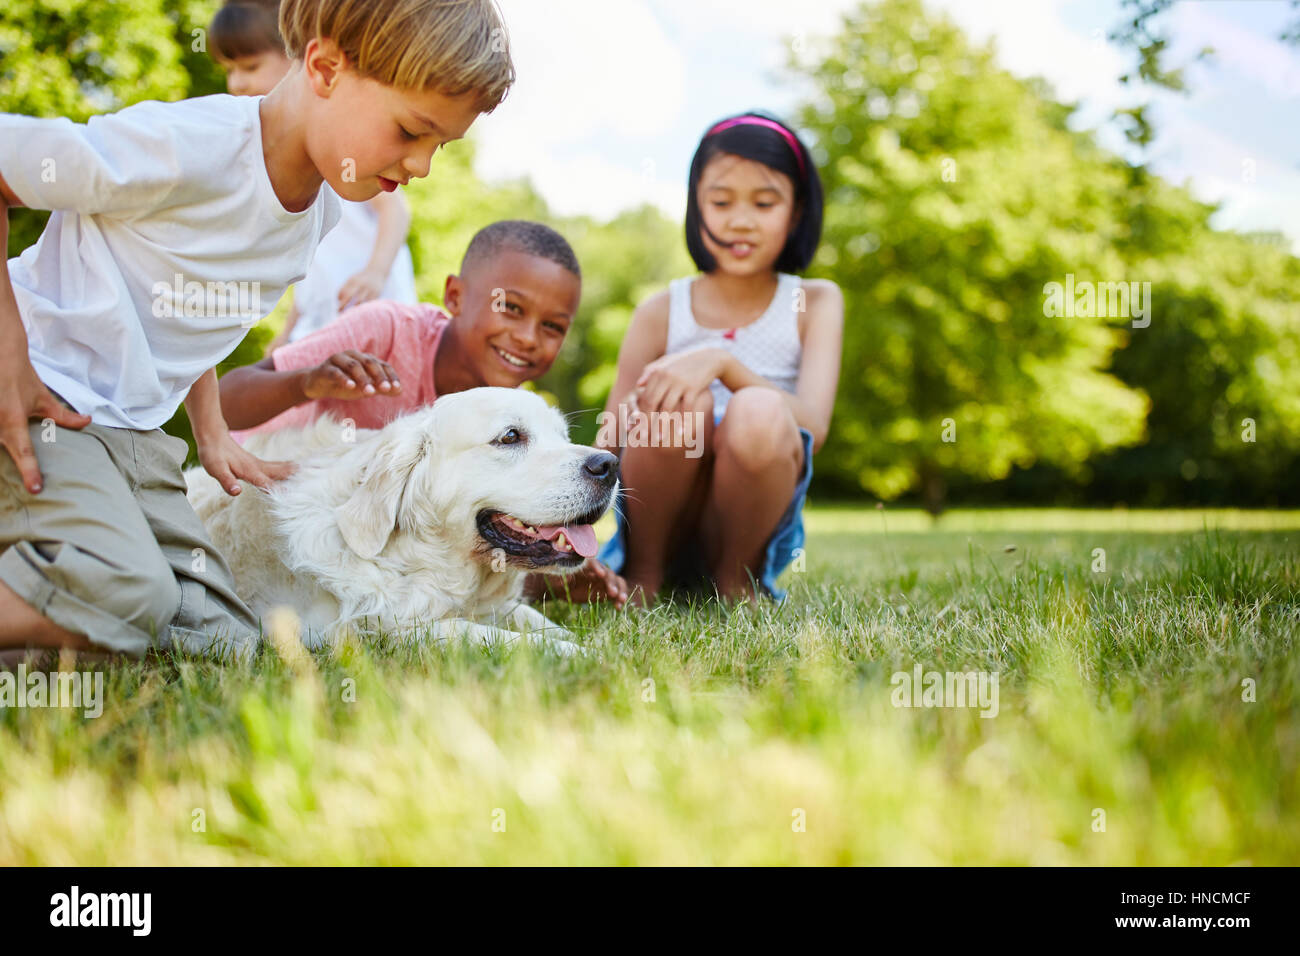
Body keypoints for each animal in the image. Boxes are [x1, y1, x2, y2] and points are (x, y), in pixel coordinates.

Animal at [185, 385, 621, 655]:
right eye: (510, 436)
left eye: (563, 436)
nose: (609, 465)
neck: (415, 559)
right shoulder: (365, 630)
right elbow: (487, 635)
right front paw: (585, 654)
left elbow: (536, 621)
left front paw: (599, 642)